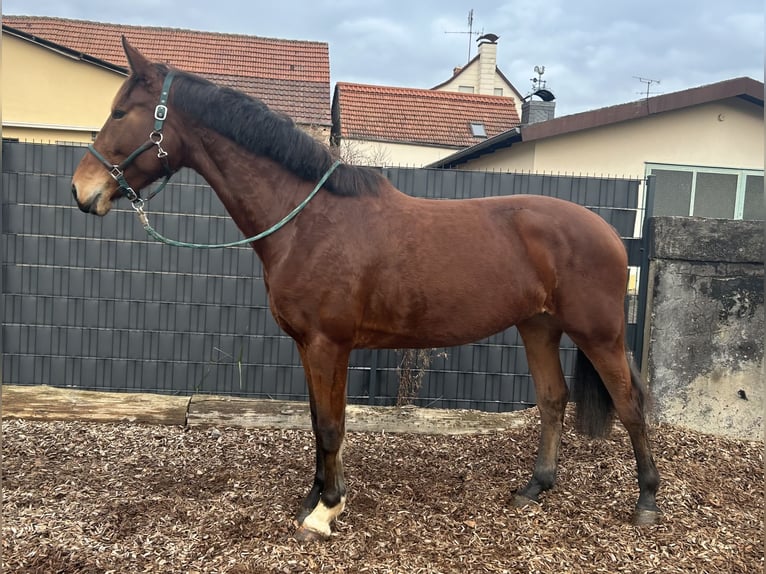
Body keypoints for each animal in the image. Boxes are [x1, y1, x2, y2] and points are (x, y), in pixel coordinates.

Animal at [71, 39, 660, 540]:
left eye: (121, 113)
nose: (82, 190)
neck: (308, 220)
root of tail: (611, 233)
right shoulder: (307, 347)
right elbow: (316, 423)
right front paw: (312, 499)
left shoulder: (329, 344)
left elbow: (332, 426)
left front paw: (326, 512)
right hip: (538, 326)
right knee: (553, 399)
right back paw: (534, 488)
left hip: (598, 333)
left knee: (631, 403)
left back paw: (647, 503)